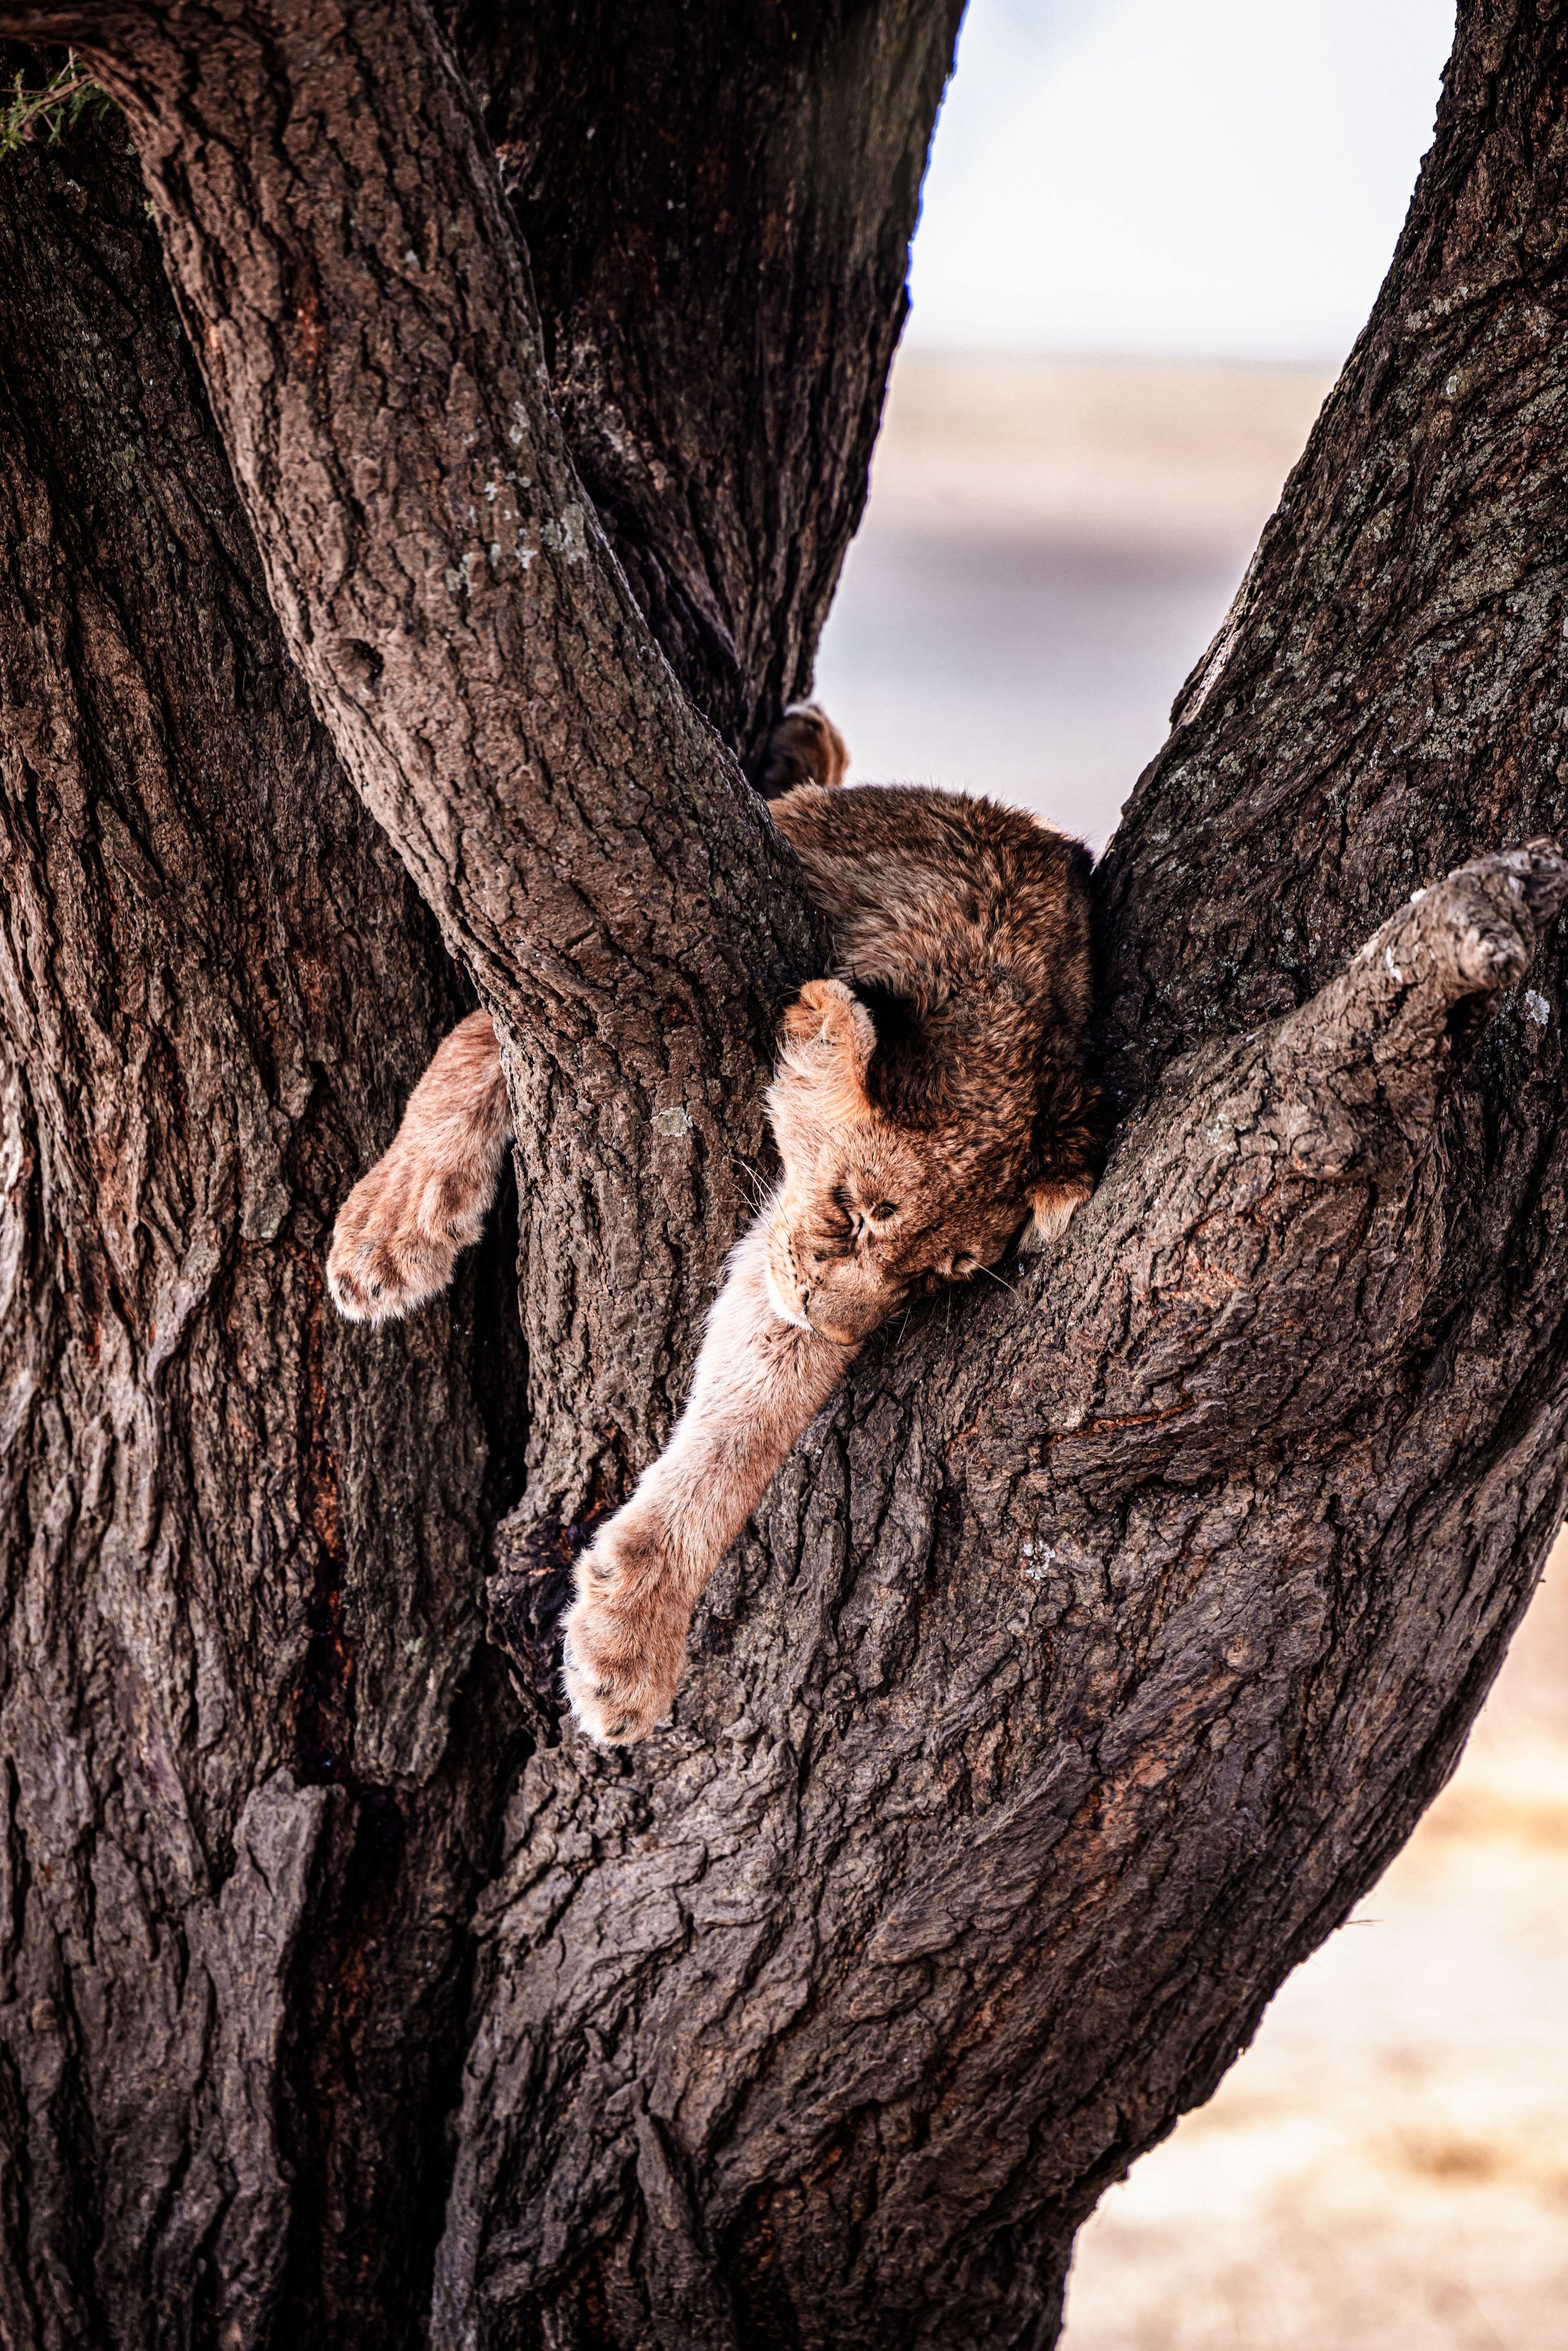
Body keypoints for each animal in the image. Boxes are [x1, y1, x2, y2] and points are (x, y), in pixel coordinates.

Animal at [328, 708, 1100, 1742]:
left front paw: (629, 1637)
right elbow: (476, 1038)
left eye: (936, 1278)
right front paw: (390, 1226)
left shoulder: (787, 1266)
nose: (840, 1330)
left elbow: (749, 1421)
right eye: (857, 1212)